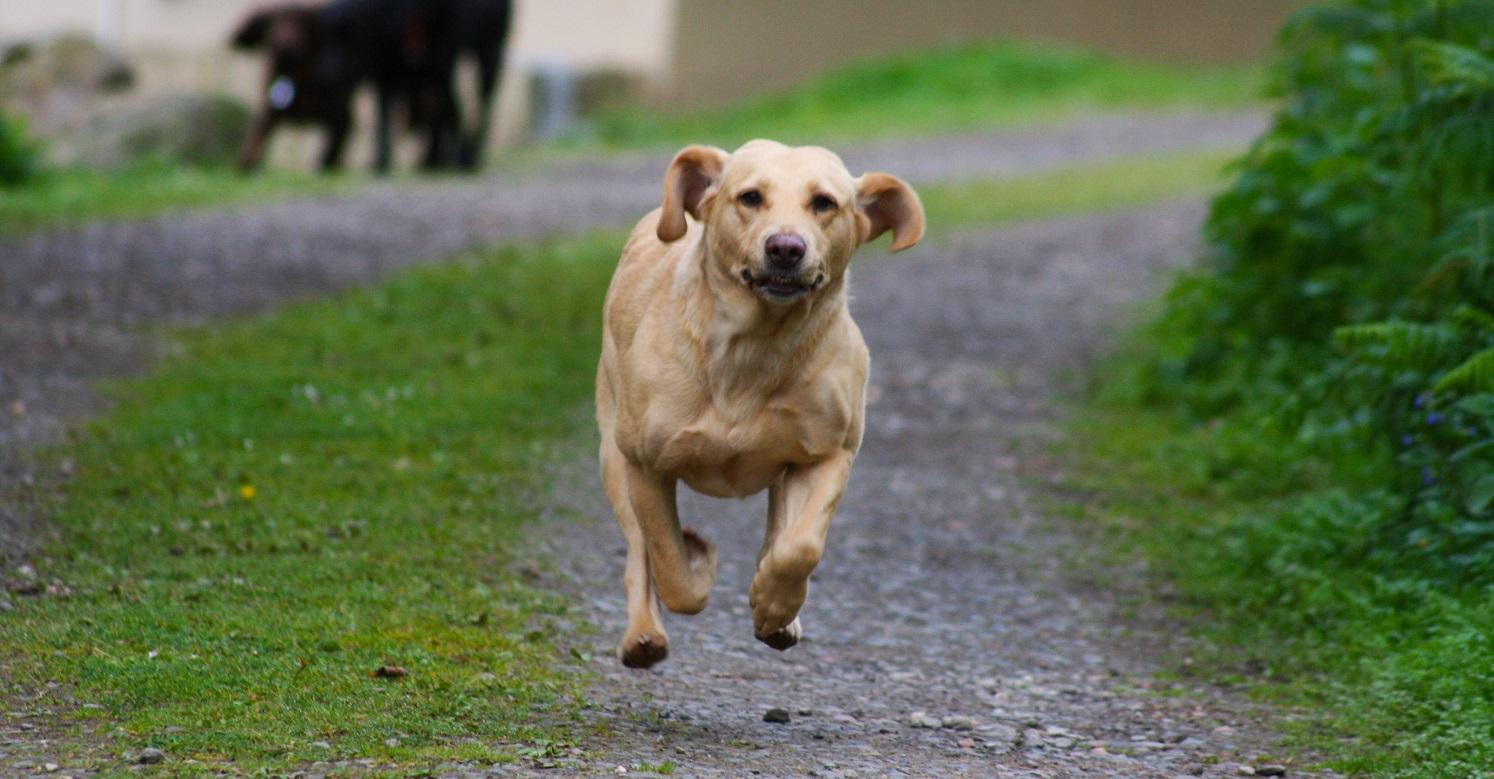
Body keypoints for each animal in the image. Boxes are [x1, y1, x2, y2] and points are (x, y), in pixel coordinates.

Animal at [230, 0, 513, 173]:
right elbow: (383, 117)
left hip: (487, 50)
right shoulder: (384, 69)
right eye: (325, 37)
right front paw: (381, 164)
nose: (329, 74)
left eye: (352, 36)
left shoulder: (439, 59)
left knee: (478, 102)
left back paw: (464, 156)